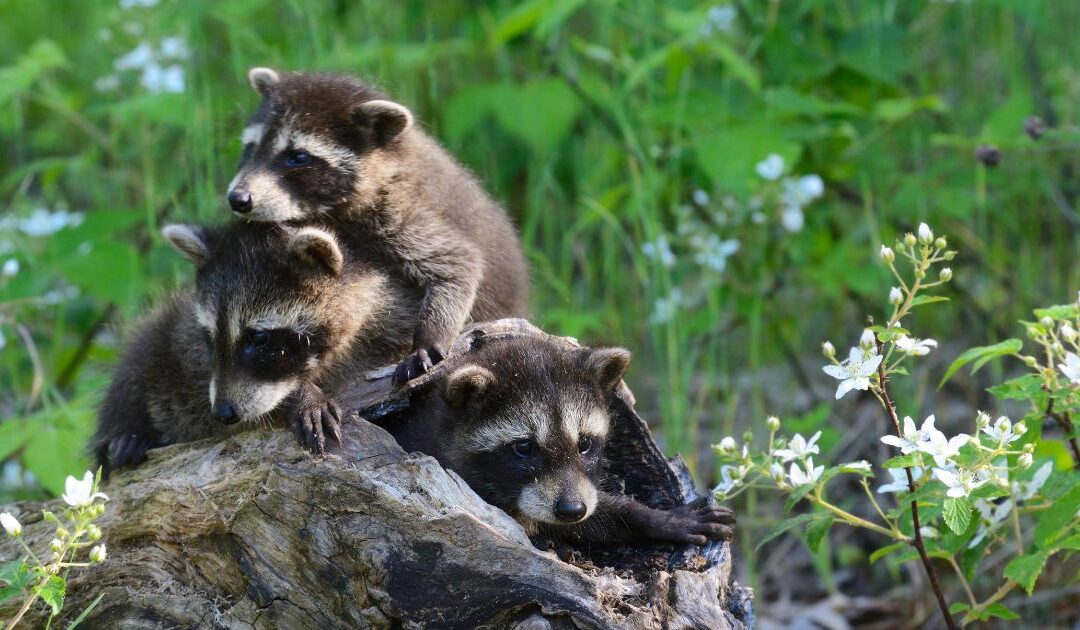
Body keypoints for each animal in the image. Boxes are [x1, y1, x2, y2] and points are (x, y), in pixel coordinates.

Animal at [91, 221, 412, 473]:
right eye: (209, 336)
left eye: (258, 338)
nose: (223, 412)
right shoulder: (188, 345)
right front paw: (302, 395)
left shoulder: (391, 325)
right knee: (136, 364)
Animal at [228, 67, 531, 384]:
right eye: (251, 148)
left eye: (297, 157)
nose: (238, 198)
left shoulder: (402, 213)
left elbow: (457, 264)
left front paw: (429, 337)